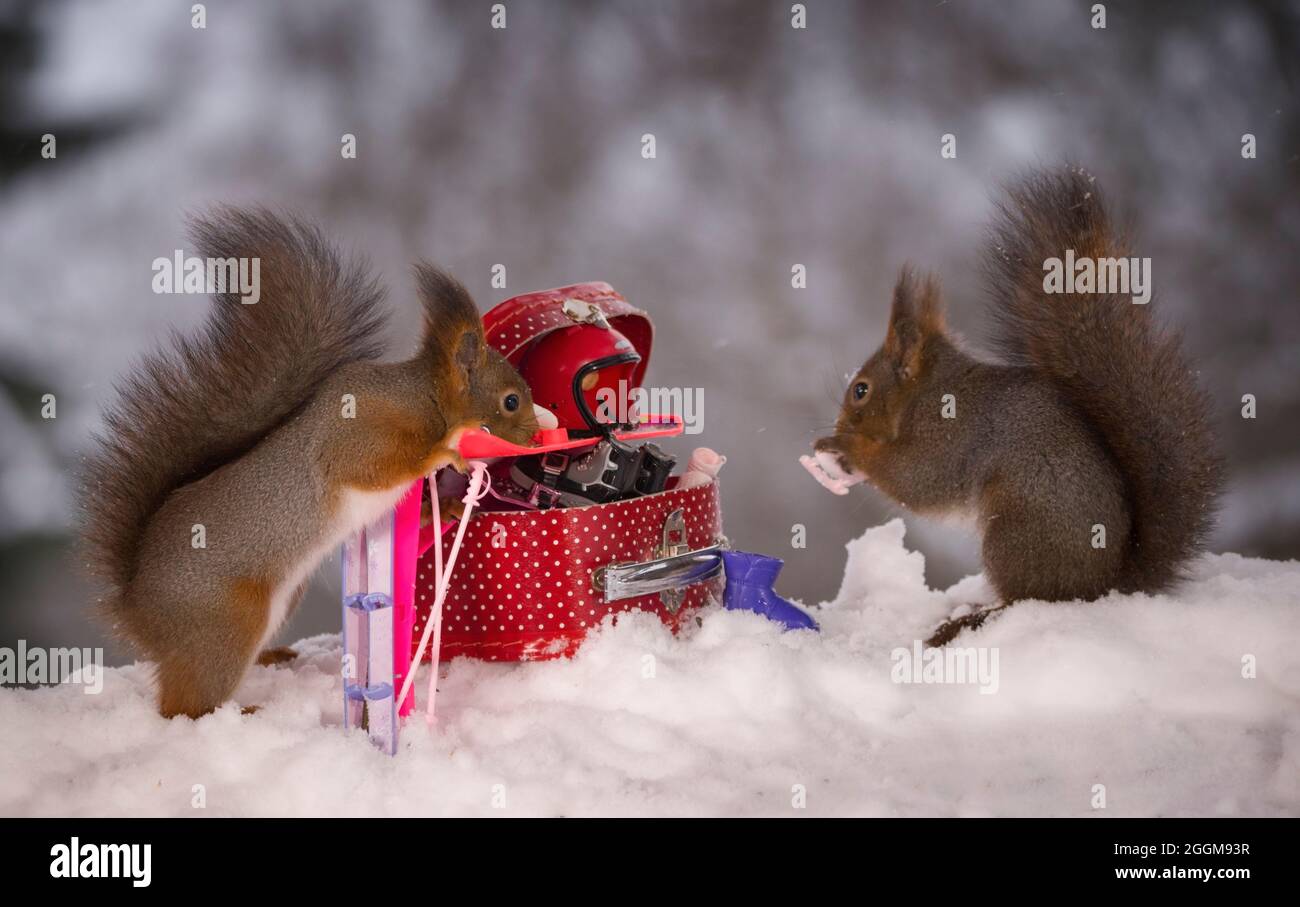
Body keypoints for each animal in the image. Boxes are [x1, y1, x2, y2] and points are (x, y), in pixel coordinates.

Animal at [79, 207, 548, 717]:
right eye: (510, 401)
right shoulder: (358, 433)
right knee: (182, 707)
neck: (424, 399)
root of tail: (137, 613)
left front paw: (451, 506)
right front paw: (448, 452)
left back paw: (272, 658)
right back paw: (239, 711)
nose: (536, 435)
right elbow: (376, 466)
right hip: (225, 623)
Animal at [806, 166, 1222, 639]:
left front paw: (843, 448)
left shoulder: (949, 435)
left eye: (860, 390)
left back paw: (972, 618)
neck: (926, 394)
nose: (838, 429)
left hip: (1014, 533)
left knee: (1029, 599)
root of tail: (1107, 583)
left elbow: (917, 481)